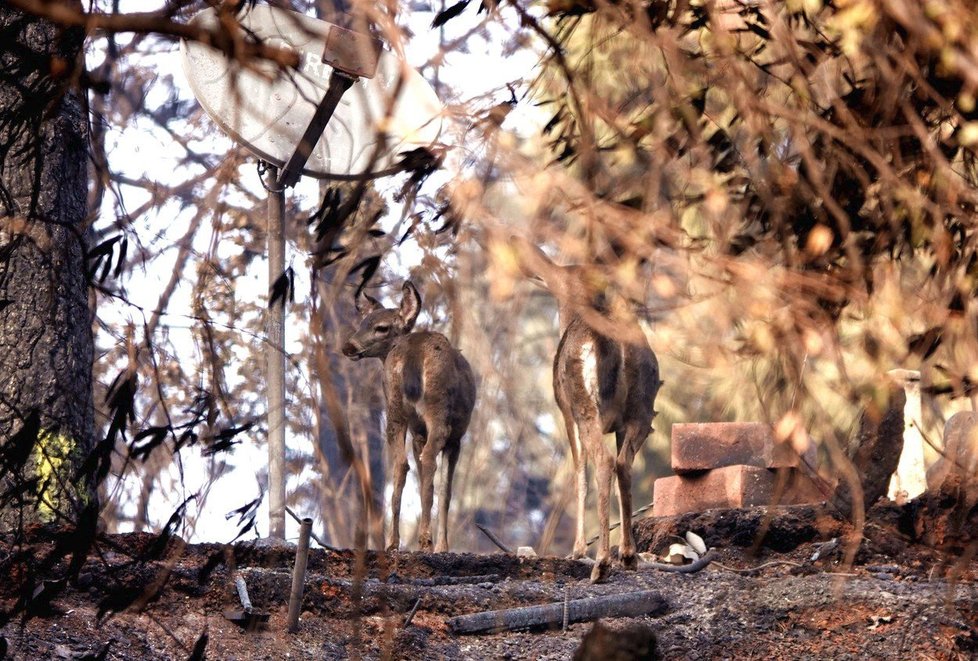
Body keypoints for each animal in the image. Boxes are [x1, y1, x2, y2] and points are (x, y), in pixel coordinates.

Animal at [340, 280, 476, 552]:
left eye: (380, 327)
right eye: (362, 323)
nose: (348, 346)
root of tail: (414, 351)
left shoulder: (417, 432)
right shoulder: (455, 438)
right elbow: (446, 492)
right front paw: (442, 546)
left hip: (395, 408)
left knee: (401, 465)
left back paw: (393, 542)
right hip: (438, 409)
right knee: (428, 461)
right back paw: (425, 540)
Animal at [520, 244, 664, 584]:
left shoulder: (565, 413)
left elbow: (578, 474)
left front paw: (576, 550)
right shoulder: (620, 423)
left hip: (584, 405)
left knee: (603, 461)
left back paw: (600, 563)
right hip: (641, 407)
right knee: (624, 462)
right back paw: (628, 556)